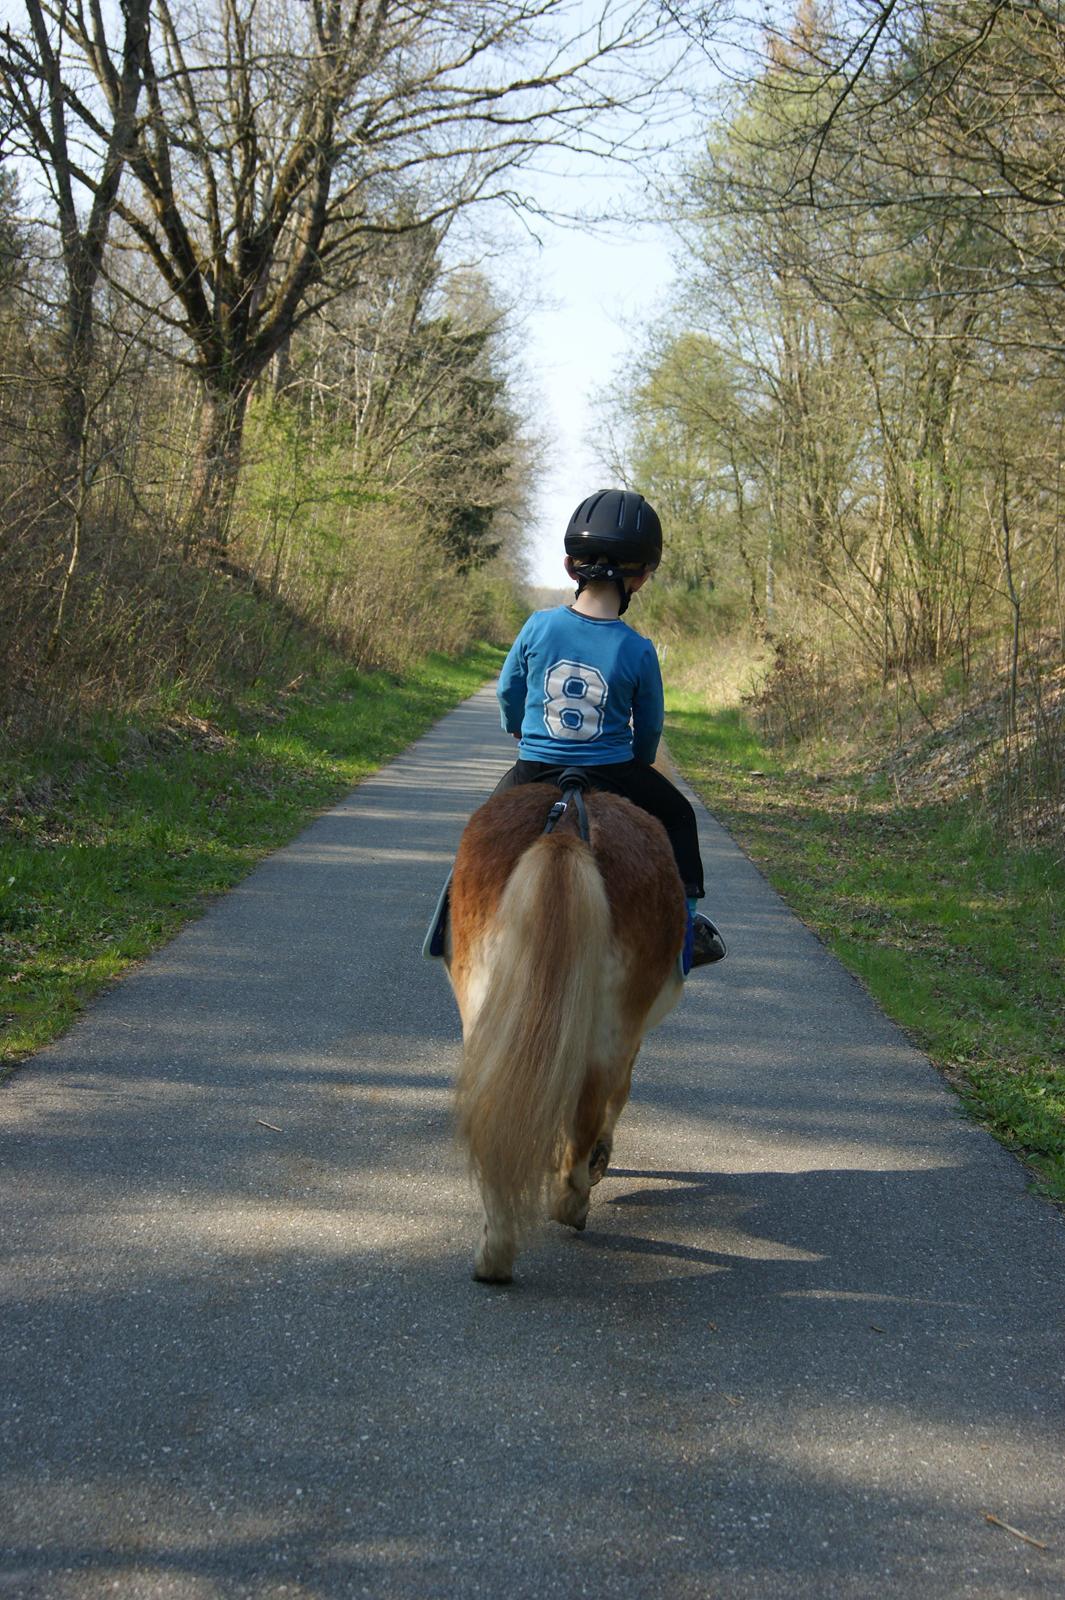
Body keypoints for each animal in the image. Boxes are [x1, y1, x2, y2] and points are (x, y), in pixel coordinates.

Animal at [444, 780, 684, 1280]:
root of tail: (568, 826)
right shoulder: (632, 1038)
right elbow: (620, 1095)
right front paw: (599, 1160)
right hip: (614, 1027)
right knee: (591, 1105)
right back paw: (571, 1200)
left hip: (487, 1009)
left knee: (494, 1109)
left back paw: (495, 1252)